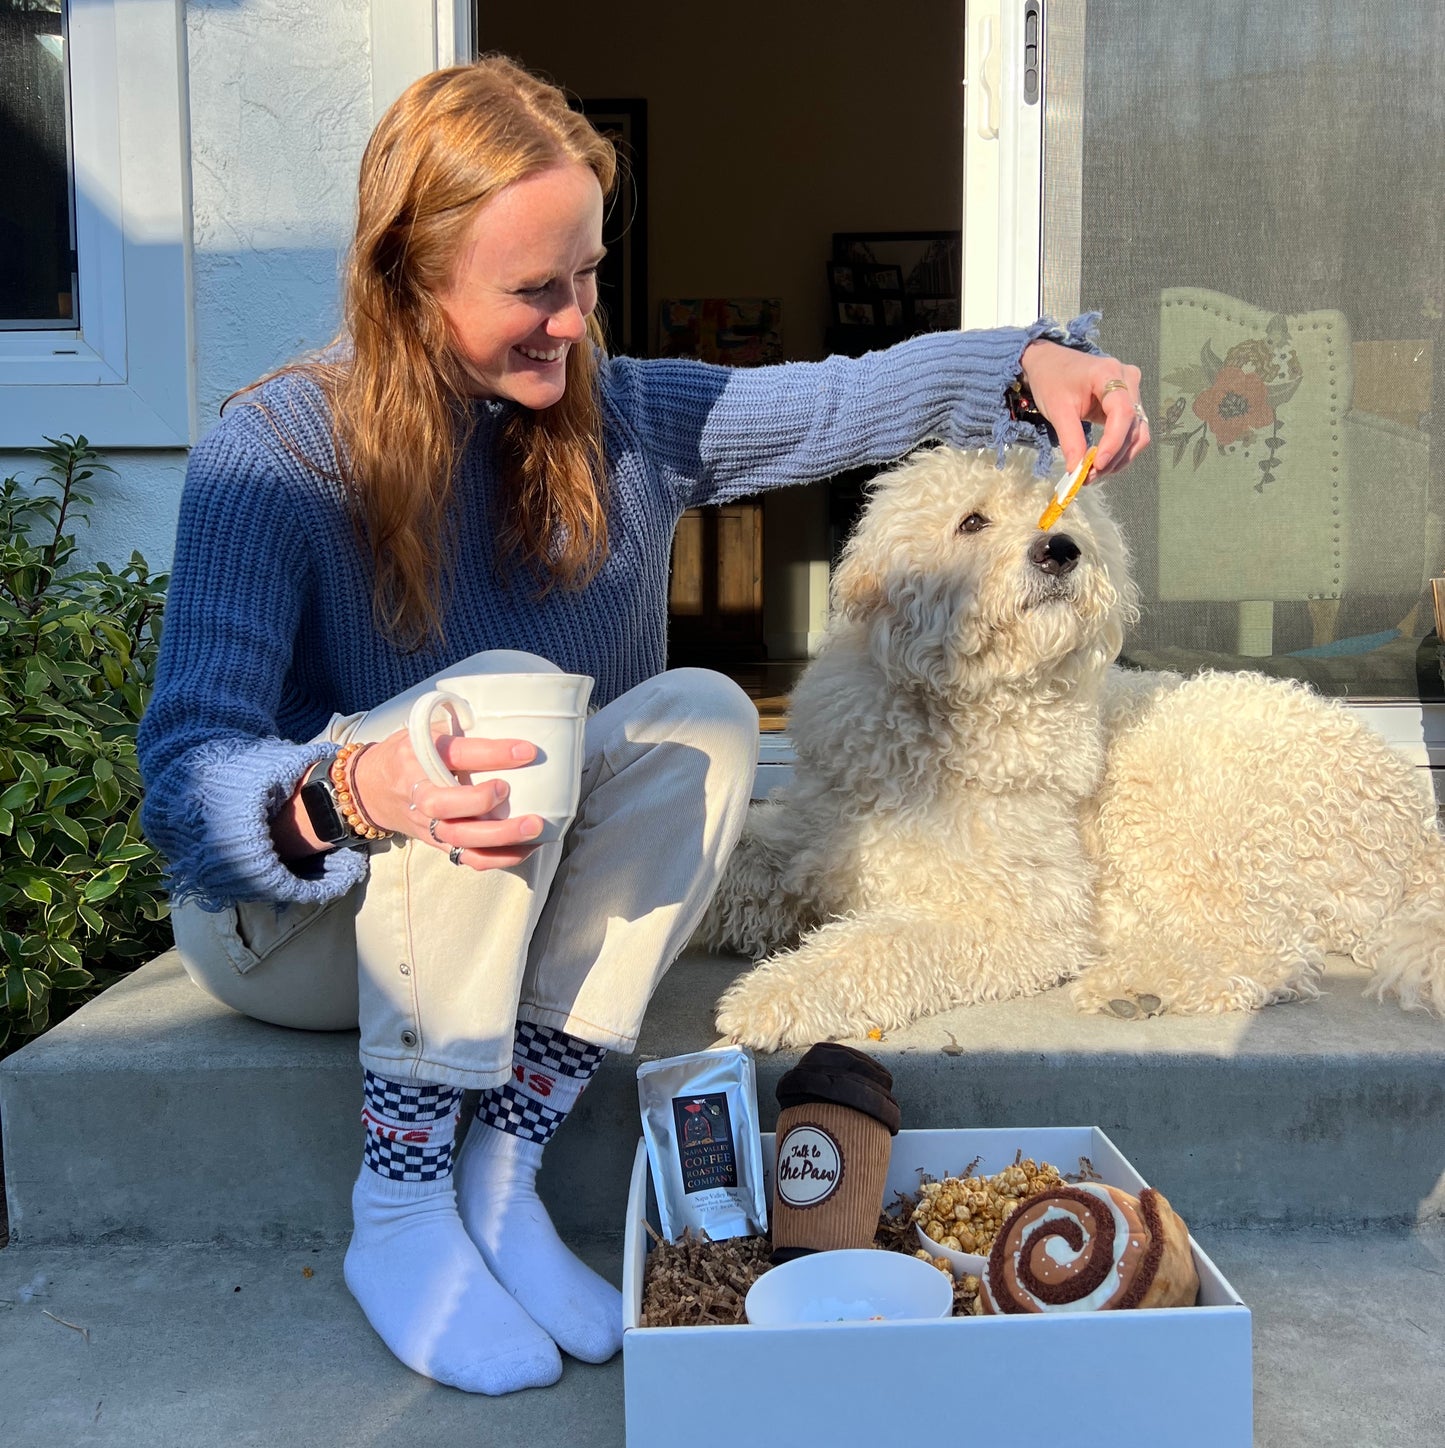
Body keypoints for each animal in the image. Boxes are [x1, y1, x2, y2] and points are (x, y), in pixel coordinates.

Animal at [706, 445, 1445, 1048]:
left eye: (1061, 516)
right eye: (971, 522)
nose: (1058, 550)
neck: (952, 714)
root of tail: (1416, 821)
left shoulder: (1016, 915)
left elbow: (880, 944)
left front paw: (775, 994)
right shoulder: (806, 843)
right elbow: (734, 862)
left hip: (1181, 802)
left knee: (1266, 949)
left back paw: (1139, 984)